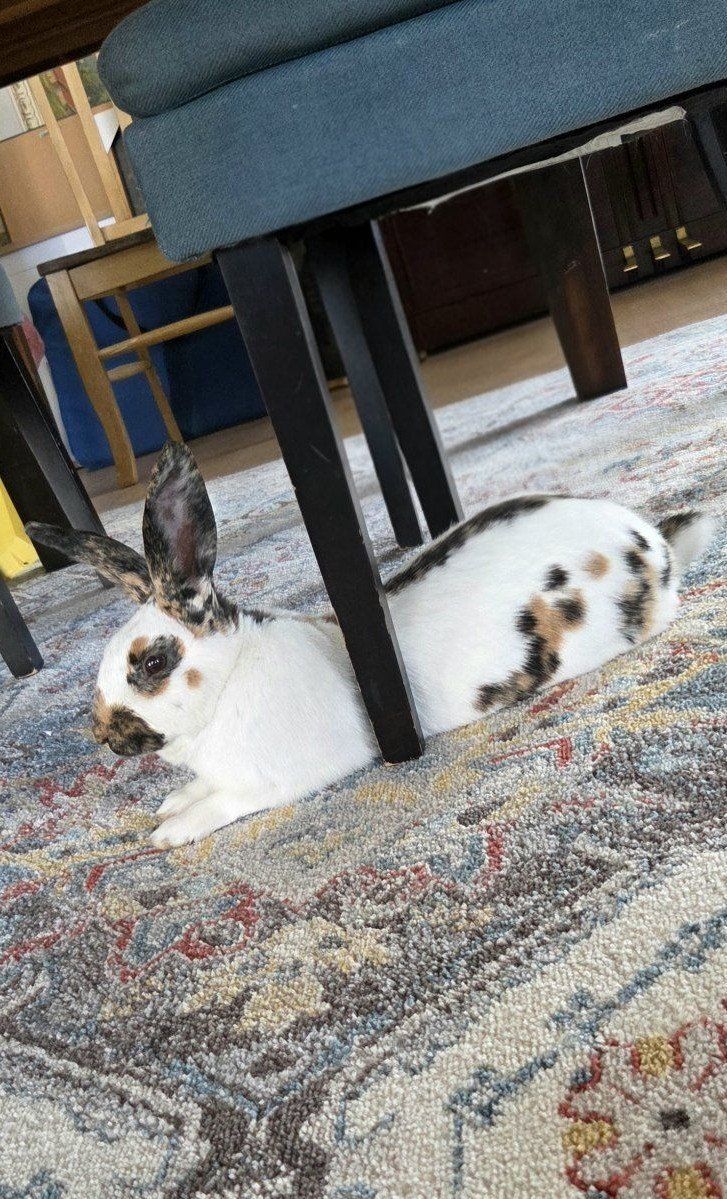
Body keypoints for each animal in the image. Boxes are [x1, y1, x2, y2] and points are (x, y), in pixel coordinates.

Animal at [28, 443, 715, 849]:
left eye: (153, 661)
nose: (103, 736)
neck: (229, 684)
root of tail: (653, 540)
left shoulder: (275, 781)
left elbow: (224, 803)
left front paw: (168, 833)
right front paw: (171, 802)